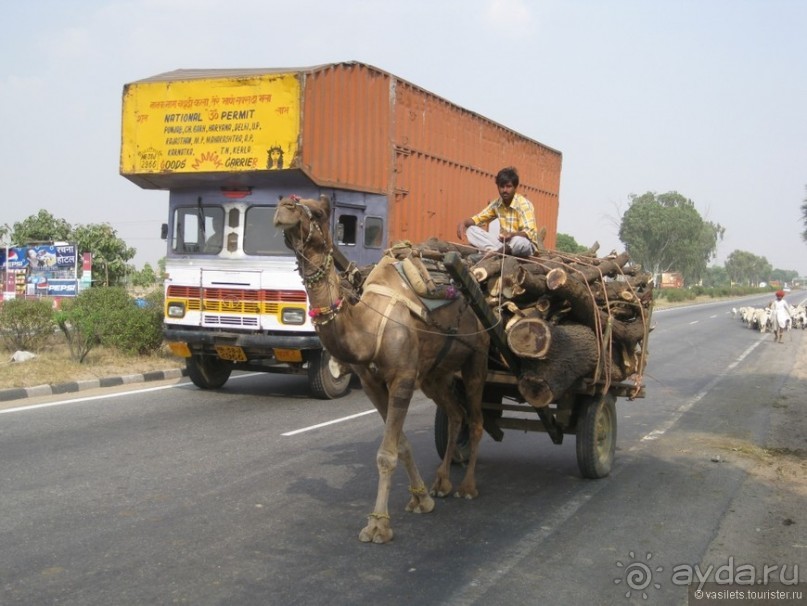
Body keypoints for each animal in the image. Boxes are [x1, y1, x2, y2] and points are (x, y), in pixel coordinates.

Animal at [272, 196, 490, 548]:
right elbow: (400, 444)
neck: (367, 327)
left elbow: (386, 453)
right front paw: (420, 499)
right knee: (456, 414)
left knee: (477, 421)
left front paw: (378, 525)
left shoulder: (402, 378)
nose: (285, 207)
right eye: (286, 201)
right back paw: (441, 483)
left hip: (477, 359)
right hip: (435, 375)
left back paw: (467, 488)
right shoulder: (372, 382)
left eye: (317, 211)